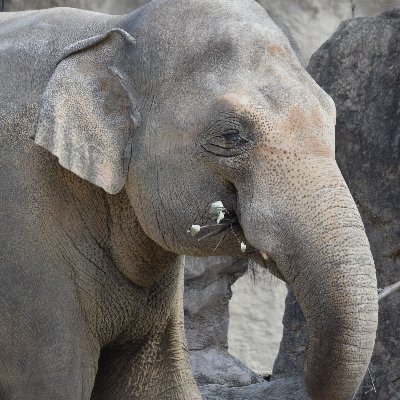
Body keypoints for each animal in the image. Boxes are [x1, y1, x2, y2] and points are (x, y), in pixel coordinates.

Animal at [0, 0, 378, 398]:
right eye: (230, 136)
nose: (273, 375)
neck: (113, 30)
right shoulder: (24, 240)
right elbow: (52, 384)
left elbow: (161, 383)